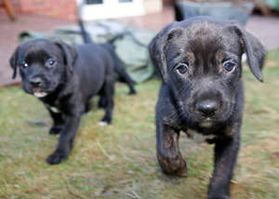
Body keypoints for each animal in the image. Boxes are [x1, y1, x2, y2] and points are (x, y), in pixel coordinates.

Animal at [150, 17, 266, 199]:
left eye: (228, 65)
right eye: (182, 68)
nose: (207, 108)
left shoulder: (231, 137)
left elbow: (223, 169)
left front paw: (218, 193)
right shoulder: (164, 116)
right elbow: (165, 151)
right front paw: (178, 168)